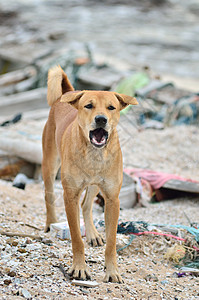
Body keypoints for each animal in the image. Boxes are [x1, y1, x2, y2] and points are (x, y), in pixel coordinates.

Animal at [42, 64, 138, 282]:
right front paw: (79, 268)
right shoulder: (70, 196)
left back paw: (93, 234)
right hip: (49, 165)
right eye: (88, 106)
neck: (94, 154)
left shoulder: (112, 198)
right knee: (49, 195)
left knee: (86, 205)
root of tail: (67, 93)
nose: (101, 119)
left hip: (95, 185)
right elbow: (76, 238)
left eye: (111, 107)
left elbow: (112, 242)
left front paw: (112, 271)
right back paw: (51, 223)